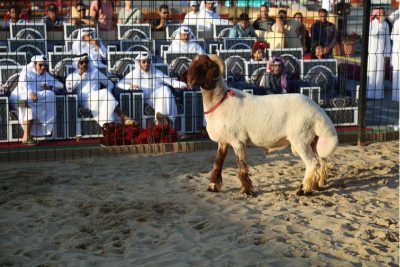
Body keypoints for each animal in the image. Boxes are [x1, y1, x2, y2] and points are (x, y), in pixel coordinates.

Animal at [188, 55, 338, 197]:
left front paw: (247, 191)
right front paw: (213, 187)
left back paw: (304, 190)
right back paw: (316, 185)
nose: (187, 79)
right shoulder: (223, 141)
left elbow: (241, 167)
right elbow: (217, 163)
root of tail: (317, 111)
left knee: (312, 163)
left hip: (301, 140)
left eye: (204, 66)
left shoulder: (238, 141)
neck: (221, 101)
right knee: (322, 161)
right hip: (313, 142)